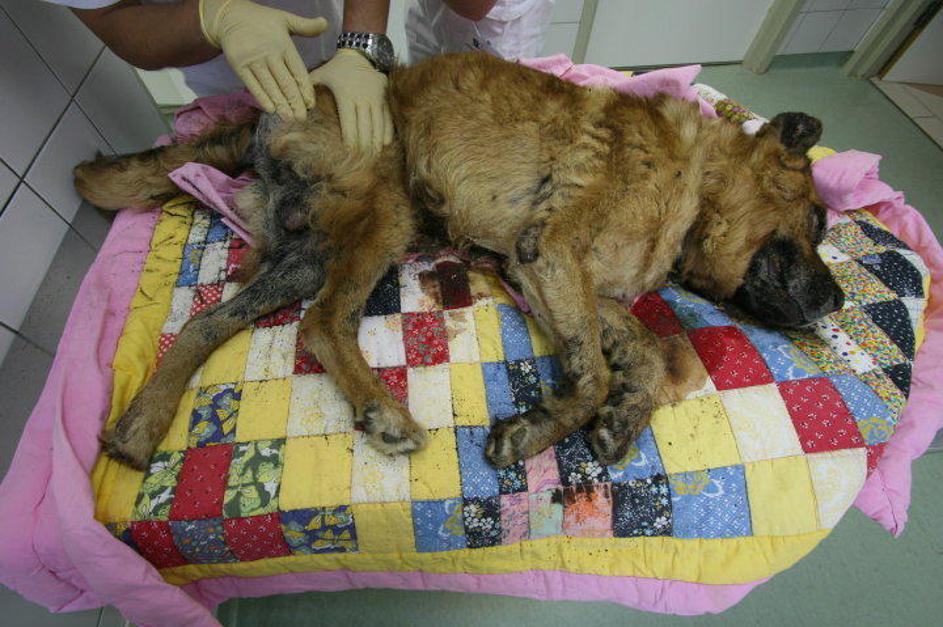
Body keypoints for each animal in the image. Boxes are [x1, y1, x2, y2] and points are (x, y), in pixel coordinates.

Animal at [74, 52, 844, 471]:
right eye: (818, 220)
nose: (838, 302)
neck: (695, 178)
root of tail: (277, 104)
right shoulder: (549, 256)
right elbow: (594, 372)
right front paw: (538, 430)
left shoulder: (572, 286)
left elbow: (647, 354)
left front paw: (624, 417)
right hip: (386, 209)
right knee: (322, 325)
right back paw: (384, 412)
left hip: (307, 250)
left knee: (205, 325)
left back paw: (139, 426)